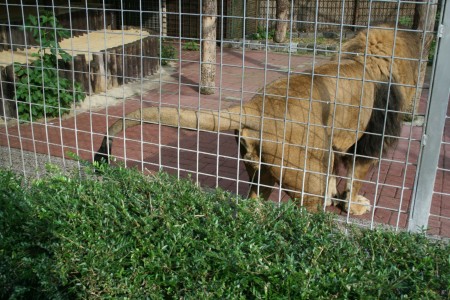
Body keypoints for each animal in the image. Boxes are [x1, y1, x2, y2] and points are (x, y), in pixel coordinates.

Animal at [94, 25, 422, 213]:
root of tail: (257, 107)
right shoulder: (369, 142)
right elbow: (355, 178)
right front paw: (353, 206)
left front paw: (337, 198)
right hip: (306, 177)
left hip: (262, 171)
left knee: (255, 207)